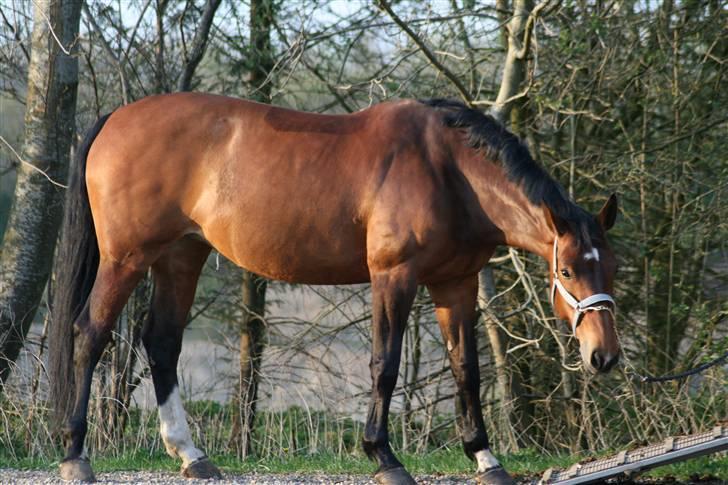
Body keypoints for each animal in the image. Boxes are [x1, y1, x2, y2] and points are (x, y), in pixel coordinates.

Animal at [51, 92, 620, 482]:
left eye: (610, 266)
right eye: (567, 271)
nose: (604, 356)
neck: (448, 170)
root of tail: (116, 119)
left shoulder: (455, 284)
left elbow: (467, 370)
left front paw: (485, 457)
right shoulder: (393, 276)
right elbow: (384, 364)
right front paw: (384, 457)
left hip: (180, 258)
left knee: (162, 343)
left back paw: (191, 455)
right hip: (126, 259)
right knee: (89, 334)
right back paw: (76, 454)